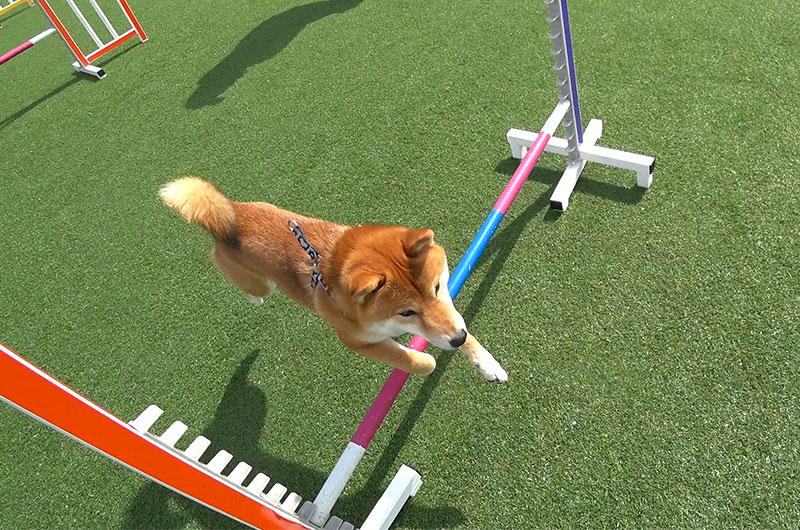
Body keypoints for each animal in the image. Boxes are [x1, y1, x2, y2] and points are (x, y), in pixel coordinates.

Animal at [159, 176, 506, 380]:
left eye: (436, 287)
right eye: (407, 312)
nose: (456, 339)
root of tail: (230, 216)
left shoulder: (451, 313)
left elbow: (461, 326)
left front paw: (487, 364)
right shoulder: (357, 341)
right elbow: (414, 360)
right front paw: (425, 360)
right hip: (259, 281)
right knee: (249, 286)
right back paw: (253, 297)